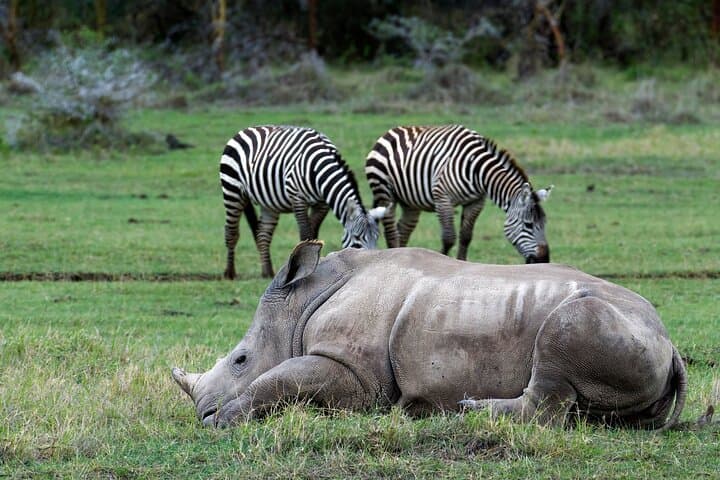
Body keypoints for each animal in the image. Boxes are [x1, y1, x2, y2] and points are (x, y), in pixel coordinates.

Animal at [173, 241, 687, 429]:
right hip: (635, 335)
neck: (302, 302)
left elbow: (281, 378)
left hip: (602, 320)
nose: (203, 412)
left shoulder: (355, 373)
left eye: (240, 359)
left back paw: (469, 411)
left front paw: (224, 421)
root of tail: (671, 345)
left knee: (562, 340)